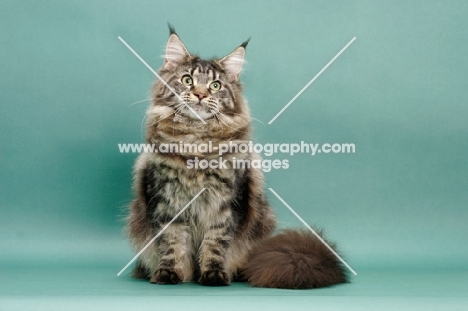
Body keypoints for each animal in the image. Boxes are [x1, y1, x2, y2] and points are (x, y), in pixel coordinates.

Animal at [125, 25, 348, 290]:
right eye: (187, 80)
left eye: (215, 85)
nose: (199, 94)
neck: (196, 144)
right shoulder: (167, 201)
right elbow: (172, 244)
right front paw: (169, 274)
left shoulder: (226, 203)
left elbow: (215, 244)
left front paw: (213, 276)